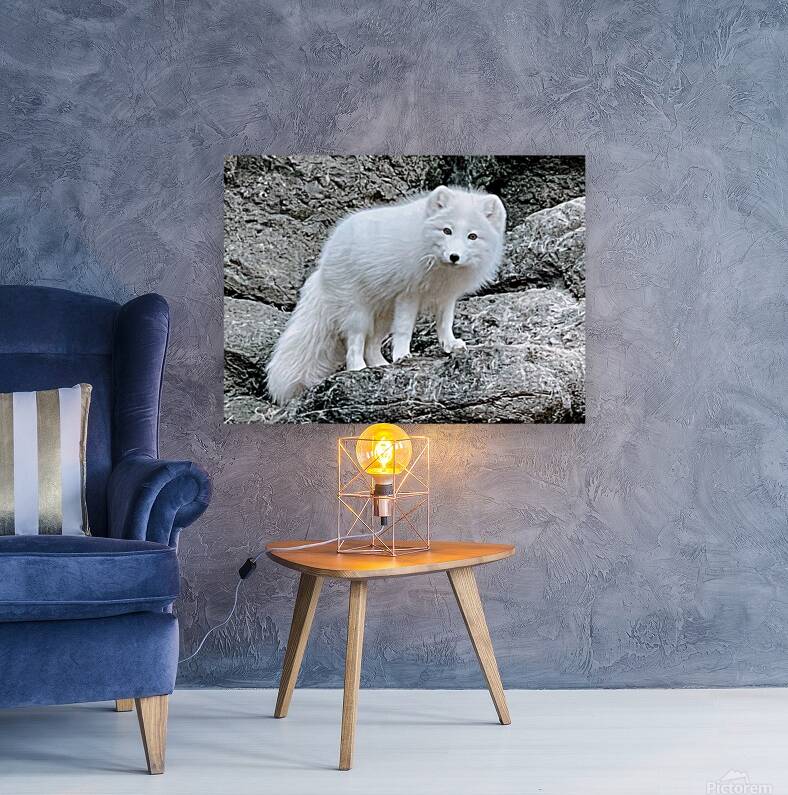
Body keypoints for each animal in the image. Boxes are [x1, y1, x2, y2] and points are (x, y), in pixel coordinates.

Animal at [266, 185, 507, 405]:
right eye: (447, 230)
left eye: (472, 236)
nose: (454, 256)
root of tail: (323, 263)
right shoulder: (409, 293)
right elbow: (404, 330)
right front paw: (402, 355)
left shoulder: (446, 296)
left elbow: (445, 324)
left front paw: (450, 345)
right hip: (358, 311)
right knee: (354, 341)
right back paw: (358, 368)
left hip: (383, 315)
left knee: (372, 344)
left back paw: (380, 366)